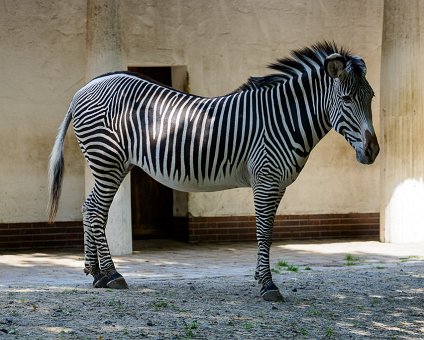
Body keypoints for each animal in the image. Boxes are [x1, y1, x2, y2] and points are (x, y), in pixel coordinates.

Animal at [48, 41, 380, 300]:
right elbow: (264, 232)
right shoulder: (266, 178)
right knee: (94, 210)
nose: (373, 151)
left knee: (91, 209)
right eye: (346, 99)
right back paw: (112, 275)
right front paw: (268, 285)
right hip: (107, 160)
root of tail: (86, 86)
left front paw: (262, 279)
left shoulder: (279, 184)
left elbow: (269, 231)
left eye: (371, 97)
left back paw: (96, 273)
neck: (283, 119)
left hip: (114, 164)